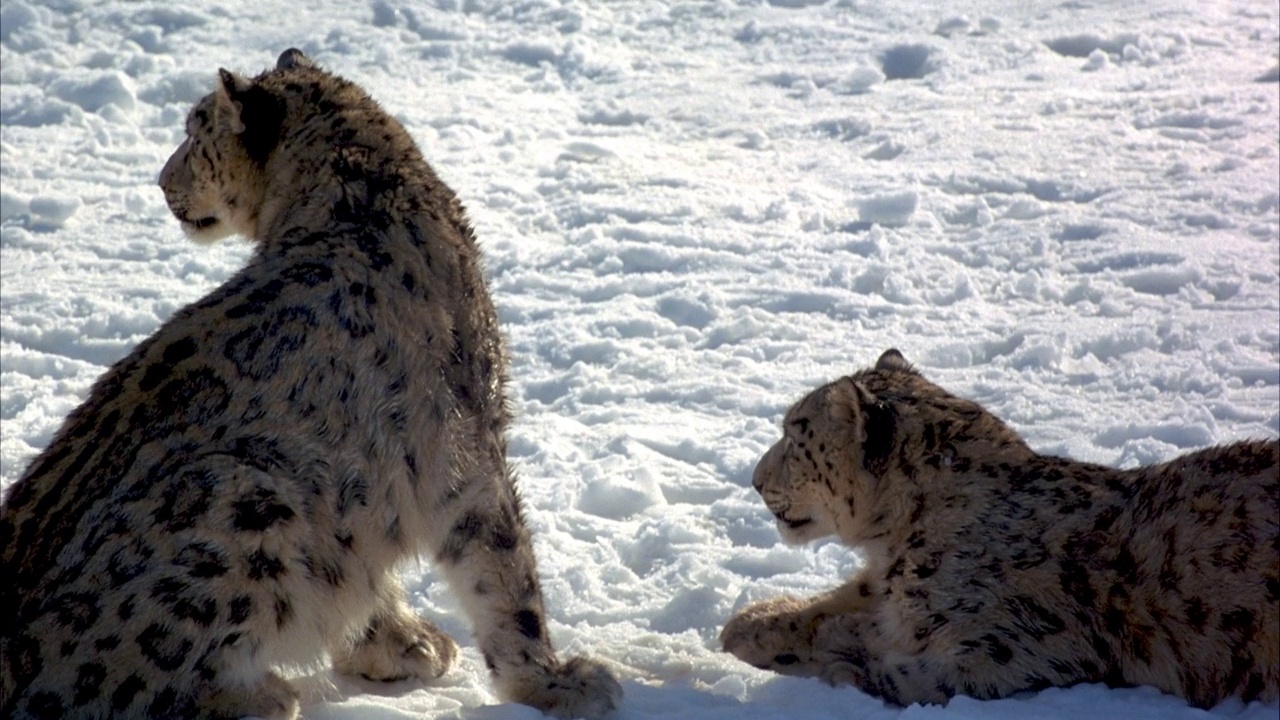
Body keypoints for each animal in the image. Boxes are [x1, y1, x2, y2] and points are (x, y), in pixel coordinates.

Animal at [0, 50, 619, 717]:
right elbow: (506, 568)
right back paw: (261, 696)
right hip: (252, 499)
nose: (162, 181)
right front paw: (552, 681)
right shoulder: (469, 439)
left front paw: (405, 644)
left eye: (195, 132)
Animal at [727, 348, 1274, 707]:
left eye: (794, 437)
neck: (895, 548)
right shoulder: (881, 588)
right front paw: (751, 624)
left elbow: (906, 674)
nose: (754, 479)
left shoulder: (1012, 653)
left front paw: (836, 655)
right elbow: (841, 599)